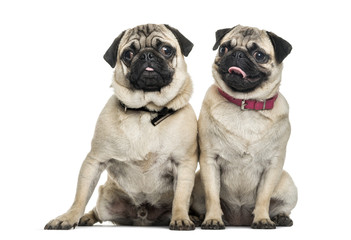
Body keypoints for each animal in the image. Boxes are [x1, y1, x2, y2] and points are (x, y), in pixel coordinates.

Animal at [44, 23, 198, 231]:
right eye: (128, 54)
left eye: (166, 50)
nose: (146, 55)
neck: (146, 111)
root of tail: (142, 215)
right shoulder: (95, 160)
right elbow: (80, 196)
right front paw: (68, 217)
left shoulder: (184, 164)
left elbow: (181, 197)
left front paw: (181, 218)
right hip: (105, 199)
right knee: (97, 210)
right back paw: (86, 218)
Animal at [191, 25, 298, 230]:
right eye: (224, 48)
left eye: (259, 55)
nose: (237, 54)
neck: (245, 104)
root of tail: (239, 220)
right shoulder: (210, 160)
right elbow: (212, 195)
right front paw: (213, 219)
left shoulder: (273, 166)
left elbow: (264, 197)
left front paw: (263, 219)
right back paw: (200, 217)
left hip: (288, 184)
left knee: (281, 207)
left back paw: (280, 218)